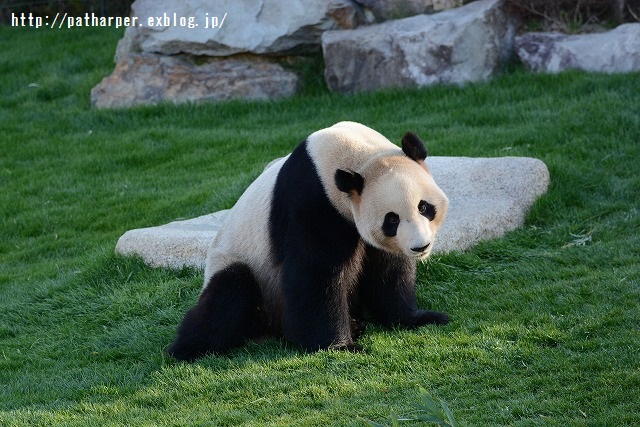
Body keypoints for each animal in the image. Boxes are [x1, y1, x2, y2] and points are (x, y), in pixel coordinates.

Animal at [170, 122, 450, 362]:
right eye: (391, 219)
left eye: (424, 207)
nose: (420, 246)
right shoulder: (313, 201)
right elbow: (316, 273)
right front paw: (340, 346)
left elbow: (389, 271)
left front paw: (418, 318)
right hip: (242, 267)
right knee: (229, 291)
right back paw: (188, 349)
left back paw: (356, 324)